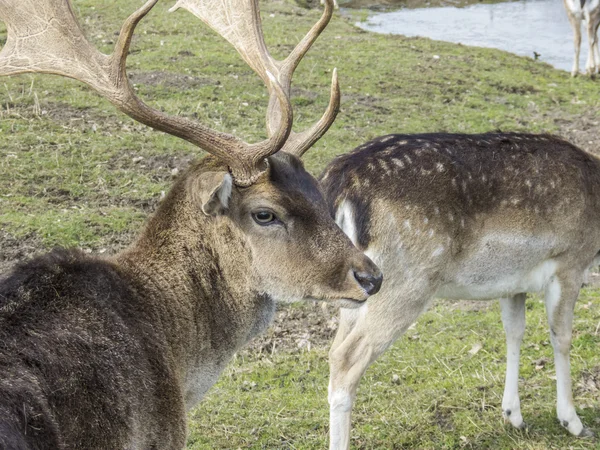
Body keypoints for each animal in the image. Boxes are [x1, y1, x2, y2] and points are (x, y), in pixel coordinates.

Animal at [322, 134, 600, 450]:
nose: (514, 416)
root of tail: (338, 181)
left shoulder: (512, 281)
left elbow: (514, 332)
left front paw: (513, 415)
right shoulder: (570, 261)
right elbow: (561, 337)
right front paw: (574, 422)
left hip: (355, 290)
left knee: (333, 350)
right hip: (403, 281)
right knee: (346, 360)